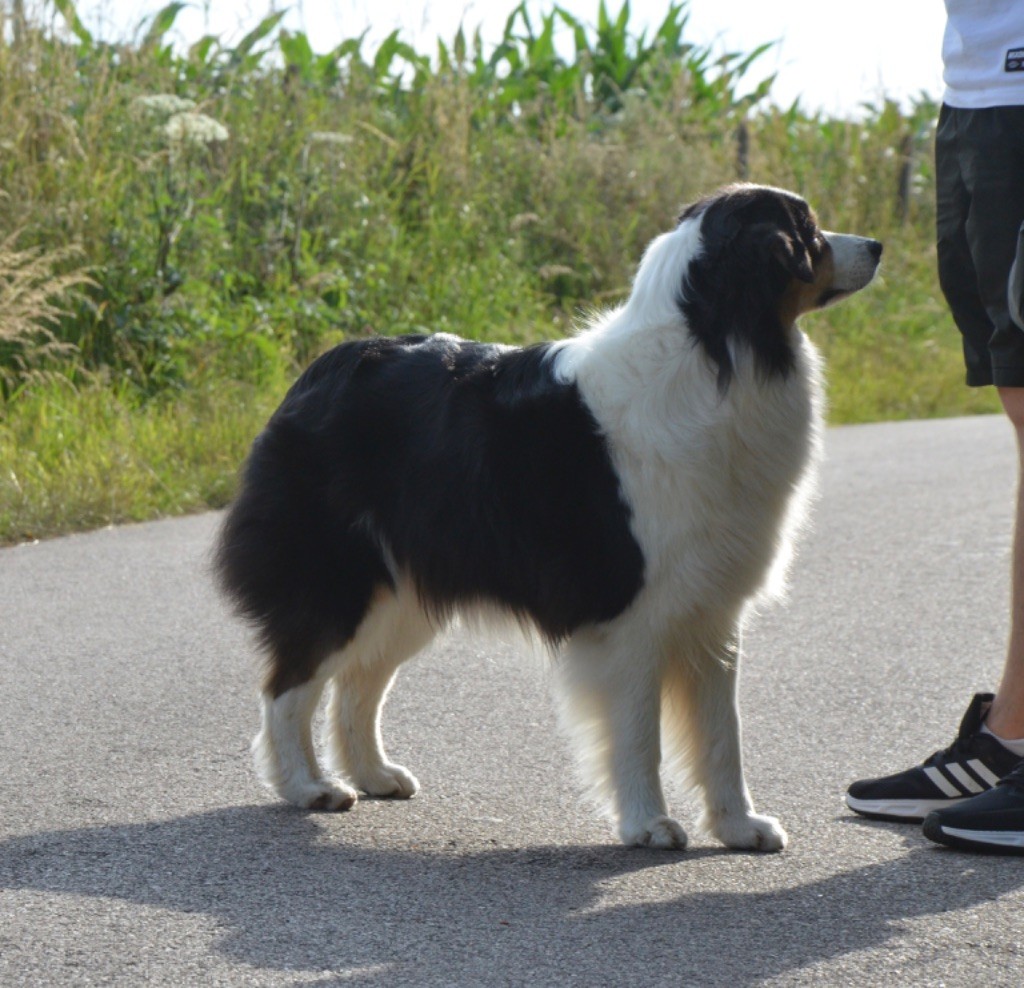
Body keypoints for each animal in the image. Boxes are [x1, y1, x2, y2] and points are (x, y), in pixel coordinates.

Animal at [214, 183, 880, 847]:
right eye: (808, 233)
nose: (877, 245)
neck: (716, 347)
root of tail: (317, 372)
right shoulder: (633, 615)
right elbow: (640, 733)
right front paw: (649, 824)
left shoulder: (712, 611)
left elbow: (723, 734)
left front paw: (739, 826)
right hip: (337, 584)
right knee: (288, 687)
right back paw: (309, 787)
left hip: (403, 591)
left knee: (357, 684)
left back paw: (374, 774)